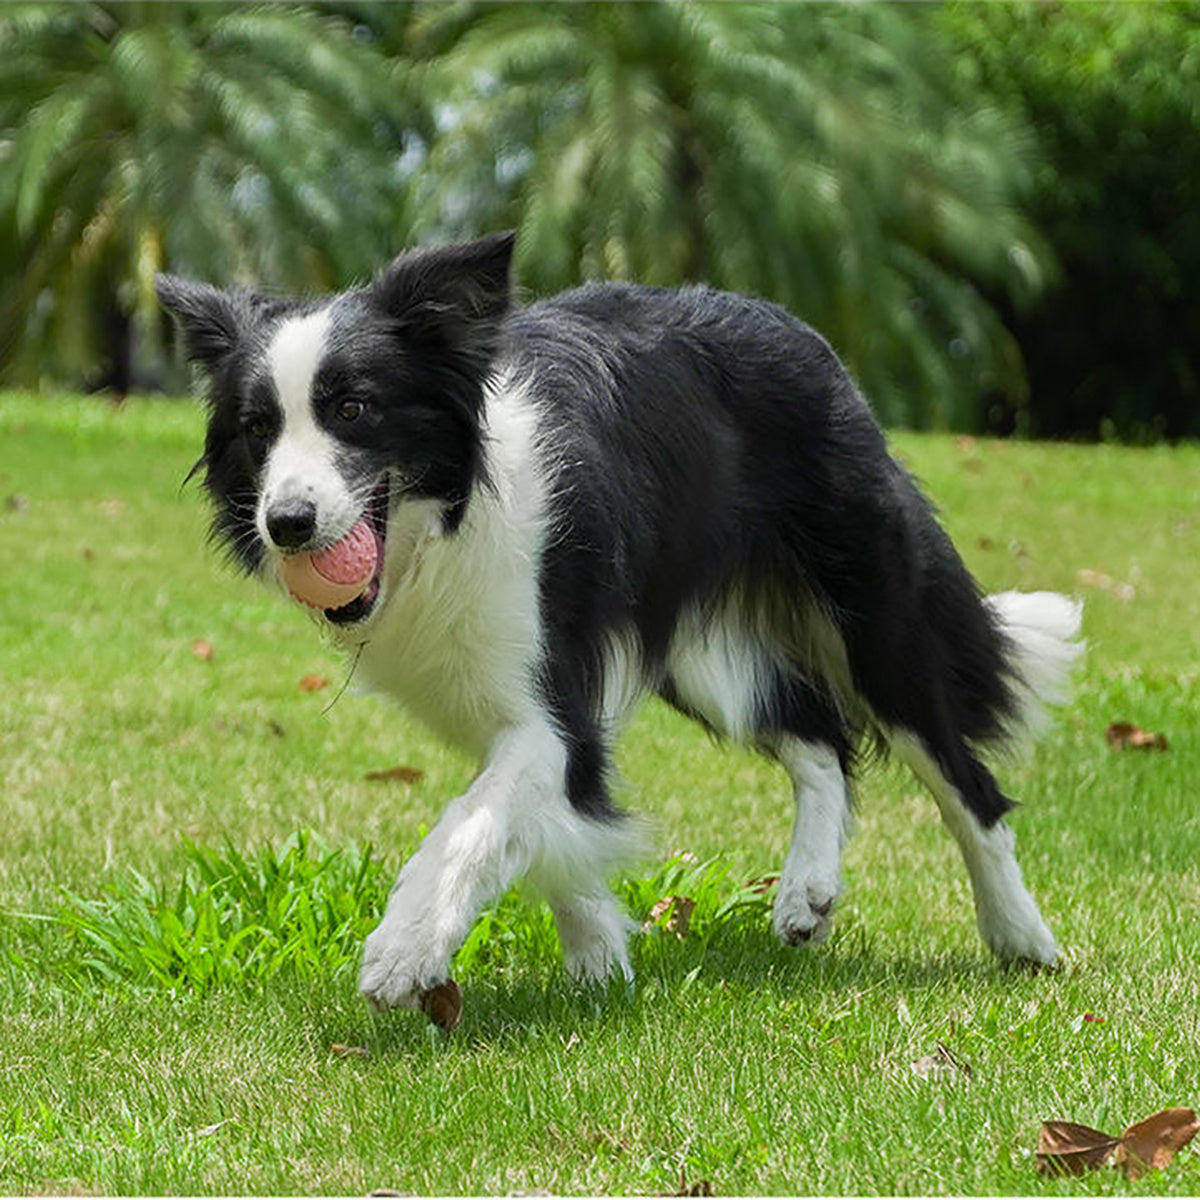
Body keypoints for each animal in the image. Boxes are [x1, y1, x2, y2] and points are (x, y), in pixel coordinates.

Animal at [154, 229, 1084, 1008]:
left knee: (963, 780)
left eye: (352, 409)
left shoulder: (550, 698)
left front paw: (405, 948)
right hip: (699, 652)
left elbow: (479, 820)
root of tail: (802, 335)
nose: (287, 523)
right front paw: (600, 961)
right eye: (257, 428)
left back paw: (1023, 939)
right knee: (821, 739)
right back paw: (807, 892)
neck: (443, 521)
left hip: (871, 608)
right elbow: (555, 827)